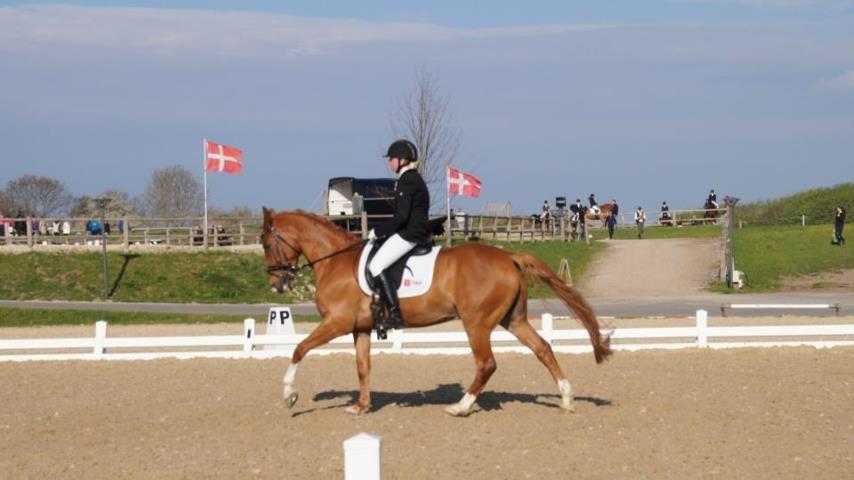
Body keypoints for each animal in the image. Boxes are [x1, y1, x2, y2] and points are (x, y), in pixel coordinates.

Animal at [260, 208, 612, 416]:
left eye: (265, 243)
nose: (276, 286)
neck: (334, 260)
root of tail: (508, 256)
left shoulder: (336, 322)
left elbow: (299, 349)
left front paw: (289, 395)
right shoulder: (359, 327)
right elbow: (362, 367)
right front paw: (361, 406)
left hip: (476, 323)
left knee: (487, 363)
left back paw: (460, 407)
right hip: (513, 319)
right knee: (543, 348)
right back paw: (566, 398)